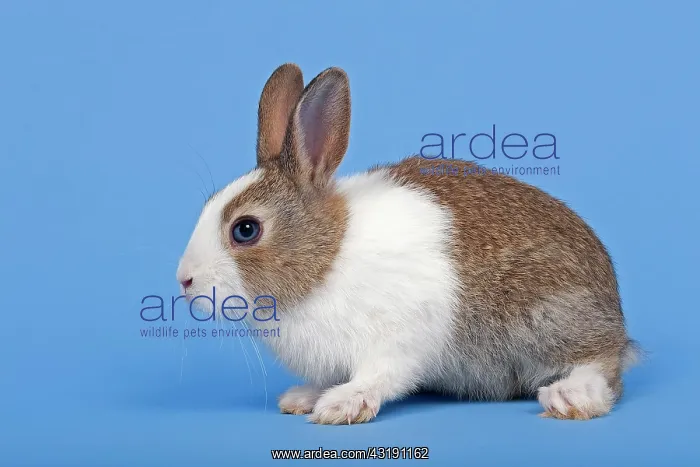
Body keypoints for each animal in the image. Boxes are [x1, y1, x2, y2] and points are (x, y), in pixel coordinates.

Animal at [176, 63, 640, 425]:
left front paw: (342, 405)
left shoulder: (397, 340)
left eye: (245, 230)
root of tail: (616, 317)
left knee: (602, 365)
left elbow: (381, 375)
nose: (184, 281)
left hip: (546, 313)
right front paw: (303, 397)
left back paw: (570, 397)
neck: (327, 258)